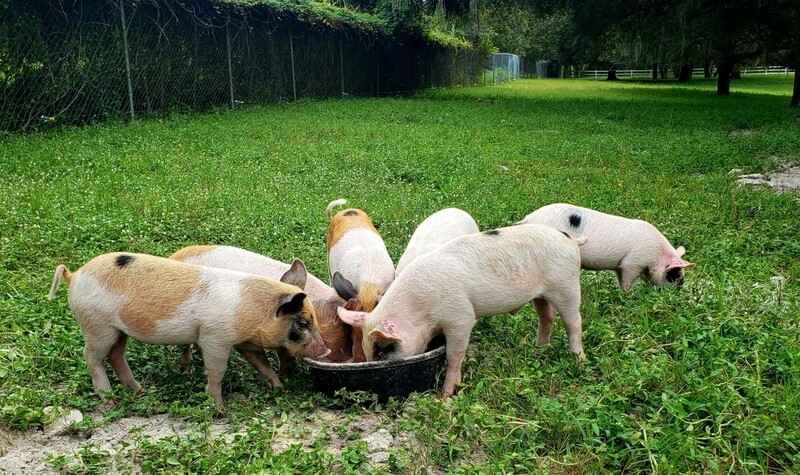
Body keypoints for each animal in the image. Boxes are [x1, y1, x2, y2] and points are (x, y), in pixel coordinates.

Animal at [48, 252, 329, 405]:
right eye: (303, 323)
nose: (325, 351)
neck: (252, 310)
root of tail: (75, 275)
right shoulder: (214, 338)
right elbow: (217, 371)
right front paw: (218, 406)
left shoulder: (243, 341)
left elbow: (261, 363)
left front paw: (277, 386)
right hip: (96, 326)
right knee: (92, 357)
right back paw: (110, 400)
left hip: (118, 330)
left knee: (116, 356)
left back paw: (139, 391)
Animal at [336, 224, 586, 399]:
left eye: (383, 350)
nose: (371, 362)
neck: (421, 309)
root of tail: (570, 239)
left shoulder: (461, 317)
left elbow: (454, 355)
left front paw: (445, 397)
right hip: (542, 294)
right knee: (547, 316)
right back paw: (539, 349)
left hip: (566, 285)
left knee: (574, 321)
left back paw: (578, 360)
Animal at [518, 203, 695, 291]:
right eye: (675, 274)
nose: (680, 287)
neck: (656, 254)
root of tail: (527, 219)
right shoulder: (633, 261)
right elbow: (628, 279)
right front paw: (628, 295)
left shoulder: (620, 265)